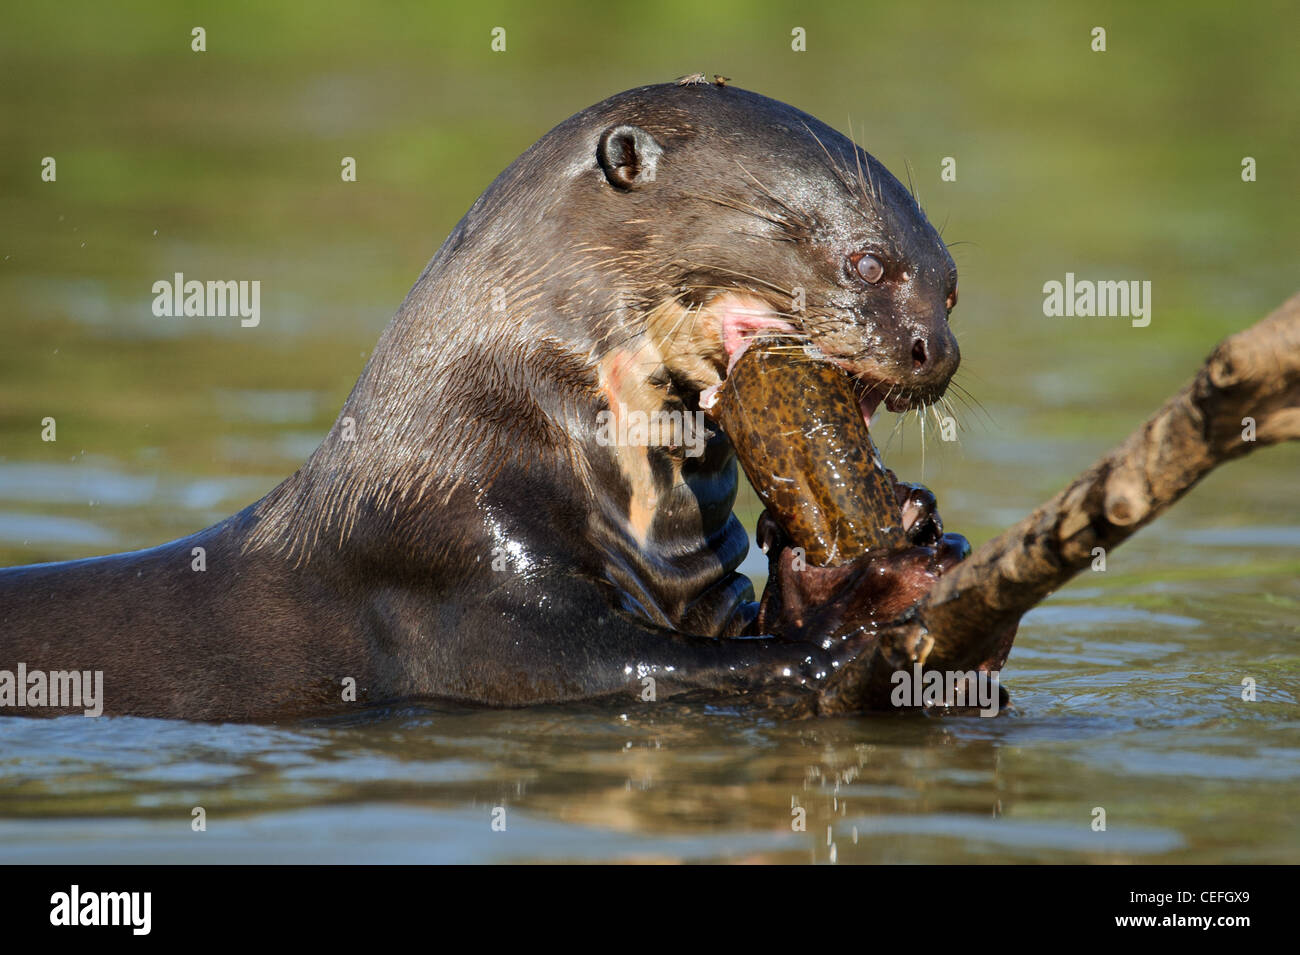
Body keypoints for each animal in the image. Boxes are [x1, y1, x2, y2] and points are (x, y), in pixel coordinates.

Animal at [0, 83, 977, 717]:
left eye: (951, 284)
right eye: (868, 263)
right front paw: (861, 603)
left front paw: (878, 547)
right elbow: (625, 664)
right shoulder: (463, 569)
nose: (936, 349)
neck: (480, 434)